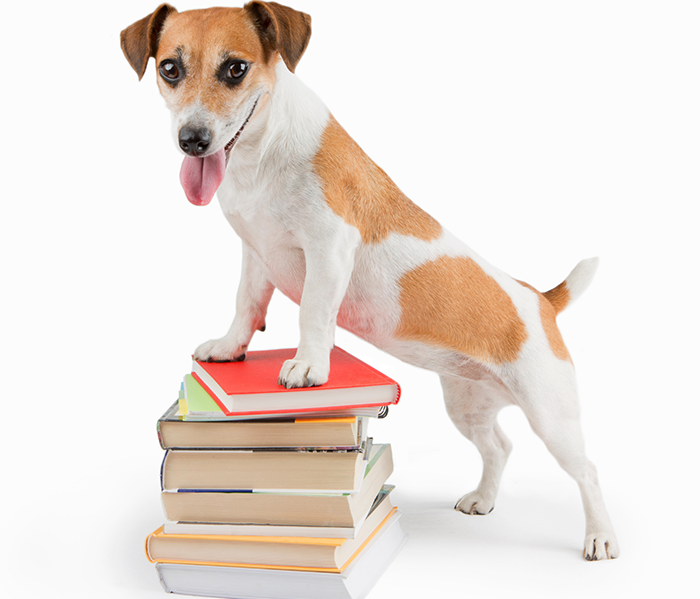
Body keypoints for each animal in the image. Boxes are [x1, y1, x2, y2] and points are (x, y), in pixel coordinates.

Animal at [123, 1, 620, 564]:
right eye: (170, 68)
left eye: (235, 69)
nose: (193, 139)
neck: (261, 153)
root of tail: (541, 300)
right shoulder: (255, 255)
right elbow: (245, 305)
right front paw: (230, 348)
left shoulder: (329, 247)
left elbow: (313, 313)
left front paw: (308, 367)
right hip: (467, 405)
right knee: (500, 446)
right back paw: (483, 498)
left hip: (552, 416)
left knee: (588, 471)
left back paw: (600, 536)